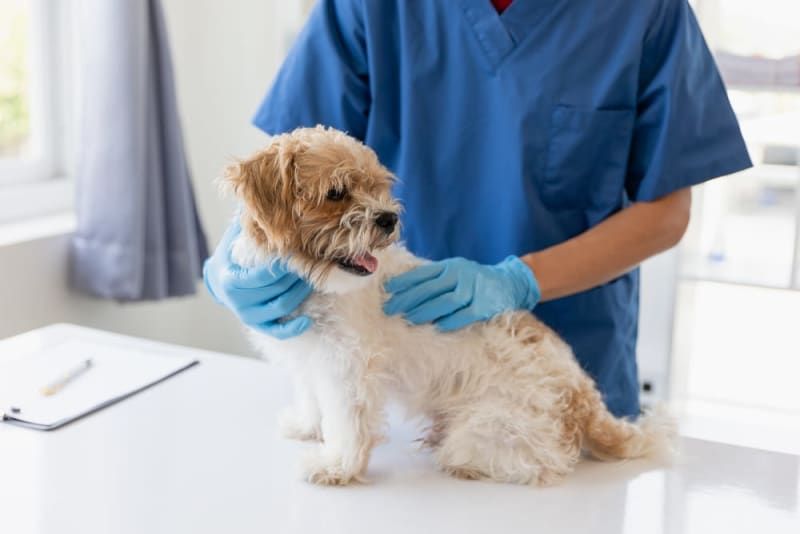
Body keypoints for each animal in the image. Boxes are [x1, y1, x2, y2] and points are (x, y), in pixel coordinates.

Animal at [223, 127, 668, 488]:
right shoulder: (311, 359)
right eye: (336, 193)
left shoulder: (349, 368)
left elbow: (349, 425)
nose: (387, 218)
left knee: (544, 464)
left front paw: (337, 467)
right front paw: (307, 427)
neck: (316, 284)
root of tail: (584, 399)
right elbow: (315, 402)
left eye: (379, 188)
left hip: (487, 431)